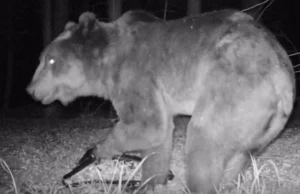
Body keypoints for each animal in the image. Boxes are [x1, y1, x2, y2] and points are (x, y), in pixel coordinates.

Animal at [27, 9, 294, 194]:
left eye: (50, 60)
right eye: (42, 58)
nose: (30, 89)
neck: (106, 65)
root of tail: (283, 79)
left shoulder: (137, 74)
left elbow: (147, 124)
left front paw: (99, 150)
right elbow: (160, 138)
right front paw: (151, 181)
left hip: (233, 86)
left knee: (203, 140)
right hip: (261, 127)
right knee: (238, 156)